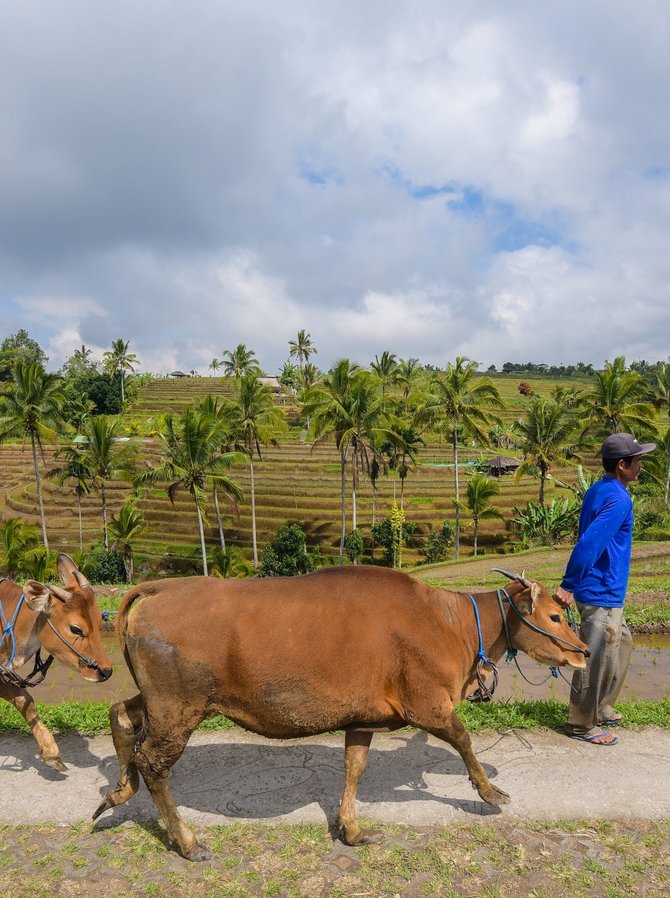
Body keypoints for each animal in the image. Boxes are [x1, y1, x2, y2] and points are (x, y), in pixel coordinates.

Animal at [0, 552, 113, 768]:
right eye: (76, 629)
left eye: (99, 621)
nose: (106, 671)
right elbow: (22, 698)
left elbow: (25, 700)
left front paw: (50, 752)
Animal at [93, 564, 588, 856]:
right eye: (555, 617)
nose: (583, 652)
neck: (454, 623)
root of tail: (160, 589)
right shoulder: (428, 704)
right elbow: (464, 741)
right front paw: (489, 792)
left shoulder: (364, 717)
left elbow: (354, 767)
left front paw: (351, 829)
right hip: (180, 705)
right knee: (153, 762)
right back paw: (186, 839)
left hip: (163, 701)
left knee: (121, 714)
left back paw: (117, 792)